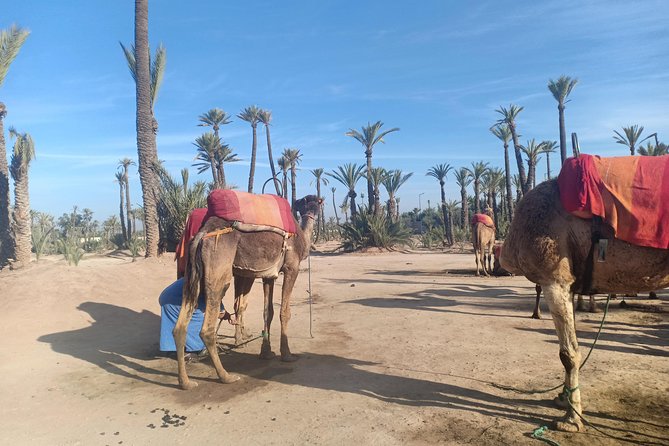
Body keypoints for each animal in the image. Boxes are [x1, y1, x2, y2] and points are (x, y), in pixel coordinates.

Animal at [173, 195, 322, 390]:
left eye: (316, 203)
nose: (313, 212)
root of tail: (202, 235)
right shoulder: (292, 268)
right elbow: (284, 312)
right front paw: (287, 354)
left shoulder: (268, 276)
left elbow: (268, 312)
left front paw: (266, 352)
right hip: (219, 271)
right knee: (206, 329)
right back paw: (226, 376)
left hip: (192, 276)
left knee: (180, 326)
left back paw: (185, 382)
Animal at [500, 180, 669, 432]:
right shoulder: (568, 283)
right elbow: (573, 346)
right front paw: (563, 399)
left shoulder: (554, 279)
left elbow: (568, 354)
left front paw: (571, 420)